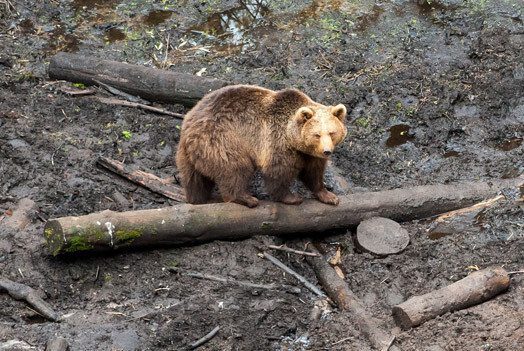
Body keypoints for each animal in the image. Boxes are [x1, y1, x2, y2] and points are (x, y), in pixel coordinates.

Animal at [176, 84, 348, 209]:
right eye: (317, 134)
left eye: (332, 132)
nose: (327, 151)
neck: (294, 139)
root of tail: (188, 124)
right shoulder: (277, 141)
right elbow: (277, 172)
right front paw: (292, 197)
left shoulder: (309, 154)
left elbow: (313, 173)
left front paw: (328, 195)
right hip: (221, 140)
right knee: (235, 168)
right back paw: (247, 198)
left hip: (189, 154)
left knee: (194, 178)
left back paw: (201, 199)